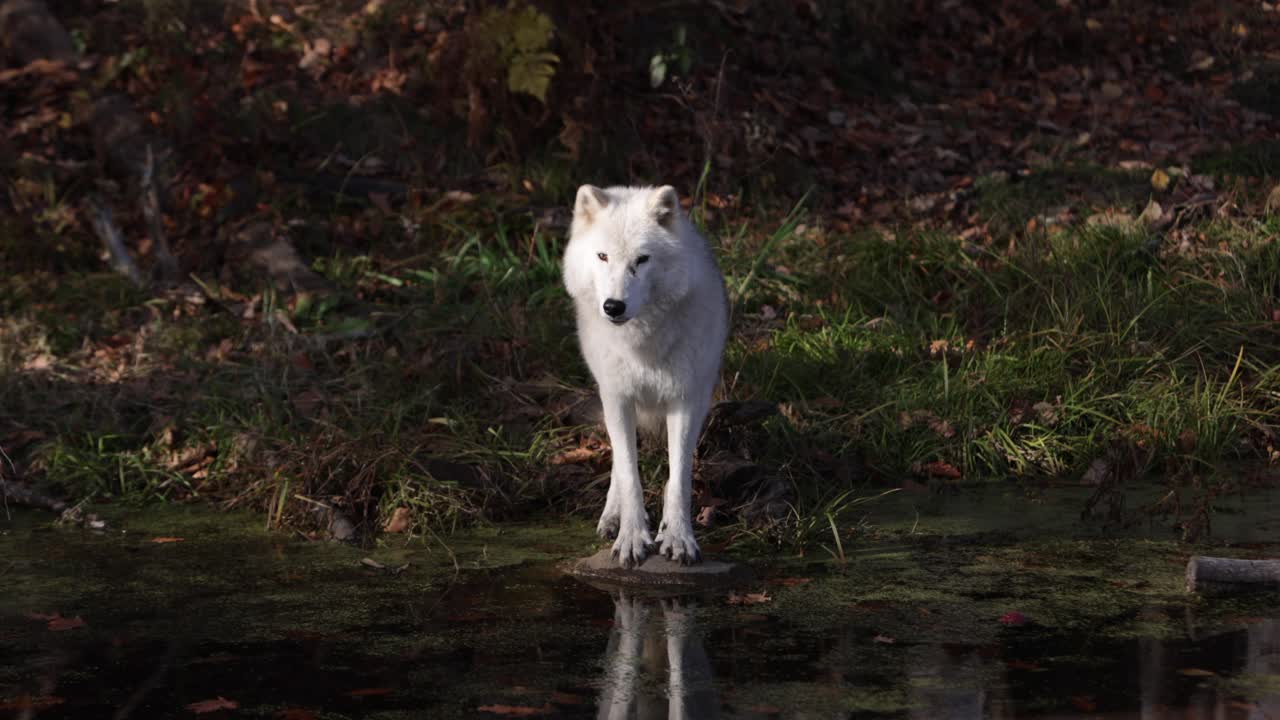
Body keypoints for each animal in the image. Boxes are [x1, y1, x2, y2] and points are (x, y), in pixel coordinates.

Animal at [562, 184, 729, 568]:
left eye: (642, 260)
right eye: (603, 256)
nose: (613, 306)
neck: (642, 343)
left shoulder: (684, 401)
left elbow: (679, 477)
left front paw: (679, 538)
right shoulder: (618, 398)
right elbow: (629, 474)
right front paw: (631, 538)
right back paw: (612, 516)